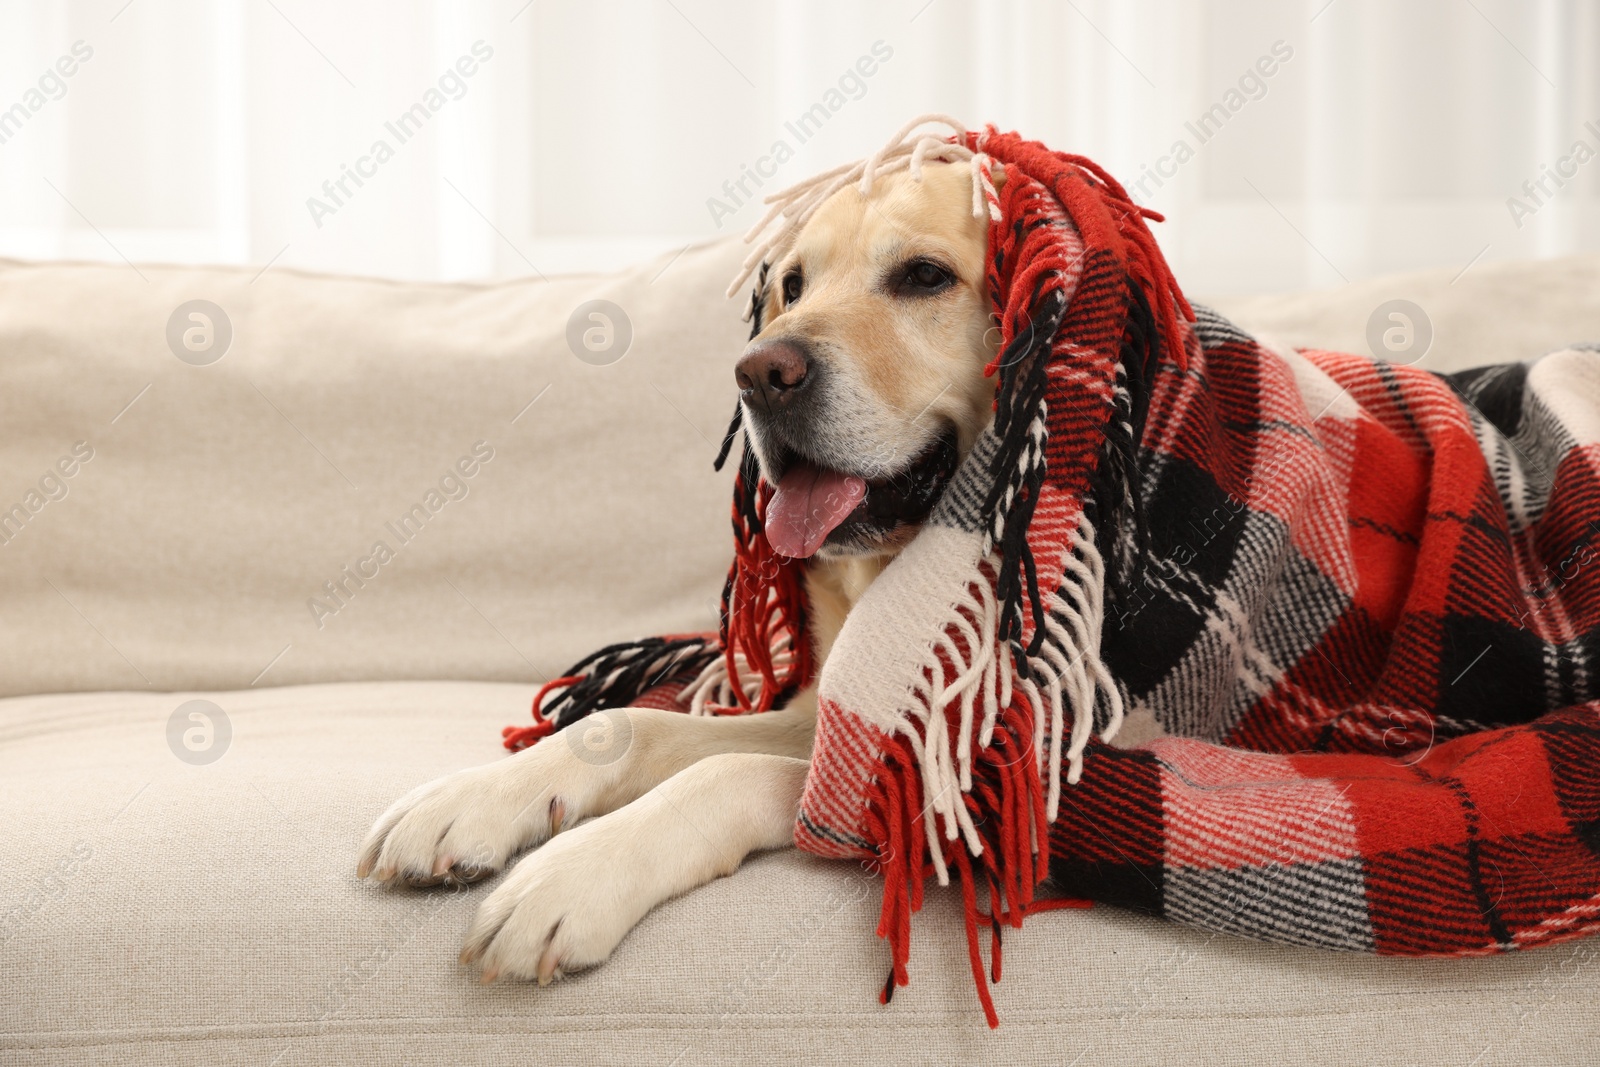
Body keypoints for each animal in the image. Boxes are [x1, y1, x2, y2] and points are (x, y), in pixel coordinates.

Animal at [360, 163, 1011, 991]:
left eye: (925, 276)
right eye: (792, 284)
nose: (760, 373)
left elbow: (732, 770)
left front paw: (572, 875)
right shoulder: (821, 714)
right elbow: (632, 722)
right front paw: (472, 796)